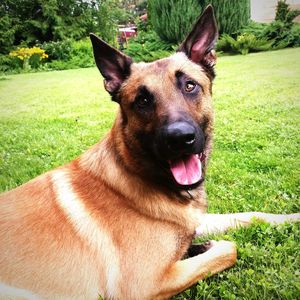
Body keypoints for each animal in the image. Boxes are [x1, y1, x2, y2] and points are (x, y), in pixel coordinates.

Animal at [0, 5, 300, 300]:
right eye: (142, 100)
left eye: (189, 85)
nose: (180, 138)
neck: (135, 170)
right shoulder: (145, 284)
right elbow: (229, 248)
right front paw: (202, 247)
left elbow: (251, 215)